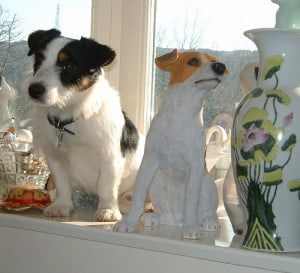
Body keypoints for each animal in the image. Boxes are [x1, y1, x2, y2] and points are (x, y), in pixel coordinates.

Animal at [24, 28, 144, 220]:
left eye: (68, 66)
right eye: (39, 59)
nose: (33, 90)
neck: (71, 117)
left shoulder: (110, 158)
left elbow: (107, 187)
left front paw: (108, 210)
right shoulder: (55, 159)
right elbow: (62, 185)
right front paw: (62, 206)